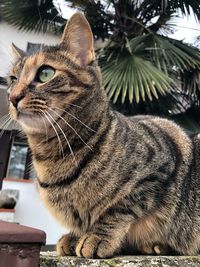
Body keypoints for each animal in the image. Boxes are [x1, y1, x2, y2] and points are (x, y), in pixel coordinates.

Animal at [7, 13, 200, 260]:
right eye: (12, 79)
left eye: (45, 73)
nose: (12, 97)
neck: (54, 154)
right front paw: (75, 235)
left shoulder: (157, 168)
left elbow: (118, 208)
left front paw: (97, 236)